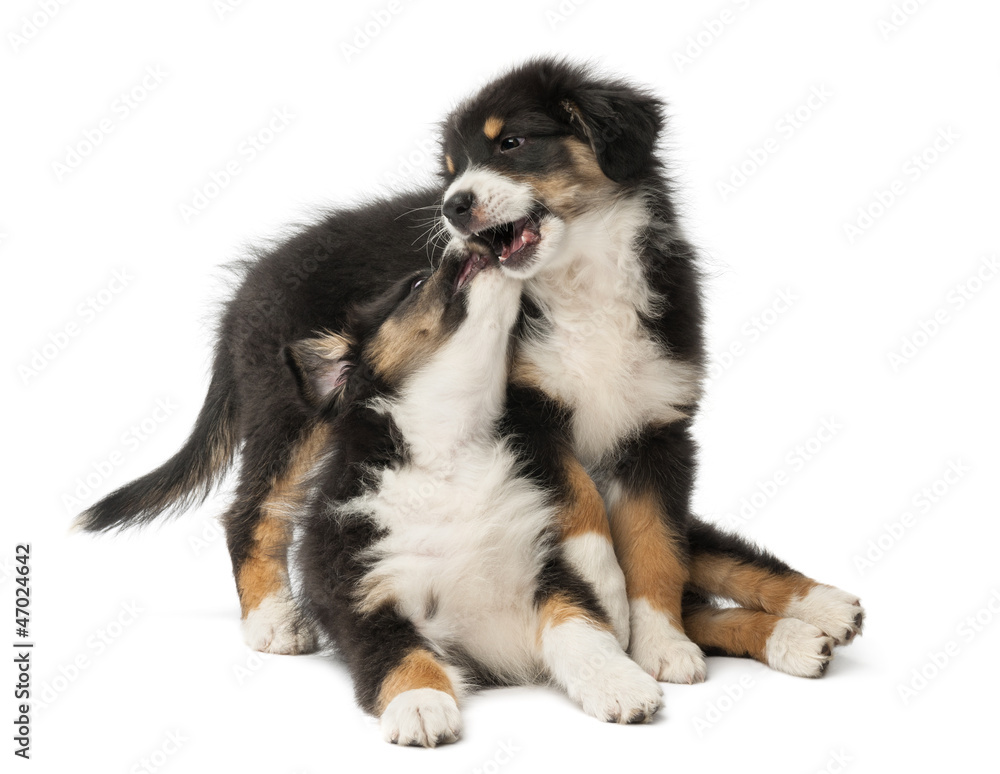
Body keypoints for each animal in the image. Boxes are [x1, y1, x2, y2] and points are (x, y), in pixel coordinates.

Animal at [286, 247, 660, 744]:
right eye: (417, 283)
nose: (466, 246)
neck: (452, 452)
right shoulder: (364, 597)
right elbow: (401, 654)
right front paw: (421, 704)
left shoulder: (544, 568)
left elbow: (581, 625)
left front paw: (618, 683)